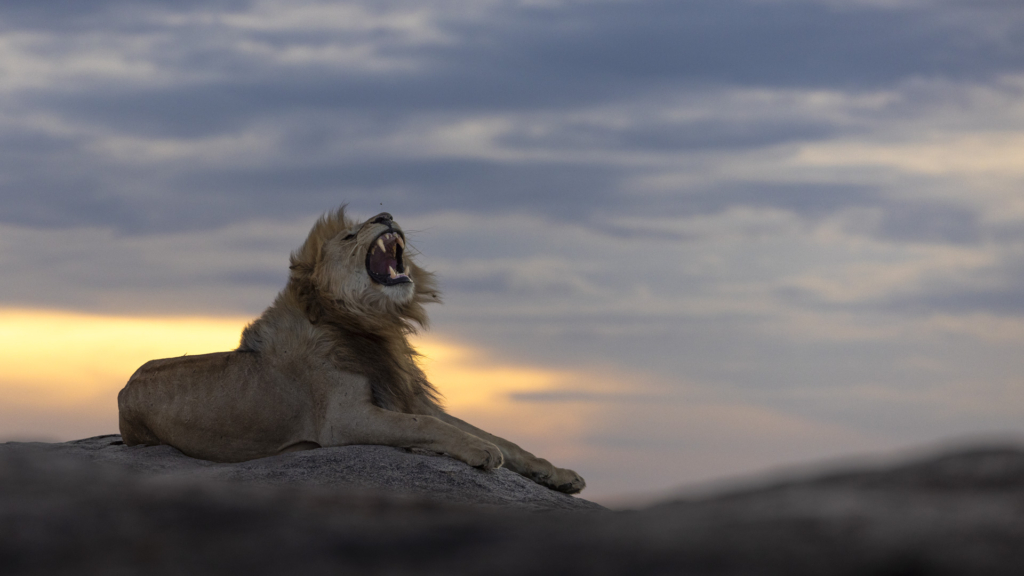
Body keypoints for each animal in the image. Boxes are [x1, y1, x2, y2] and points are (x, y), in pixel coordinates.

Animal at [118, 206, 585, 494]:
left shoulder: (405, 396)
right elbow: (427, 426)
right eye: (349, 235)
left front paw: (558, 474)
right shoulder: (342, 420)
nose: (386, 214)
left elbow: (499, 436)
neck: (372, 325)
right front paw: (480, 453)